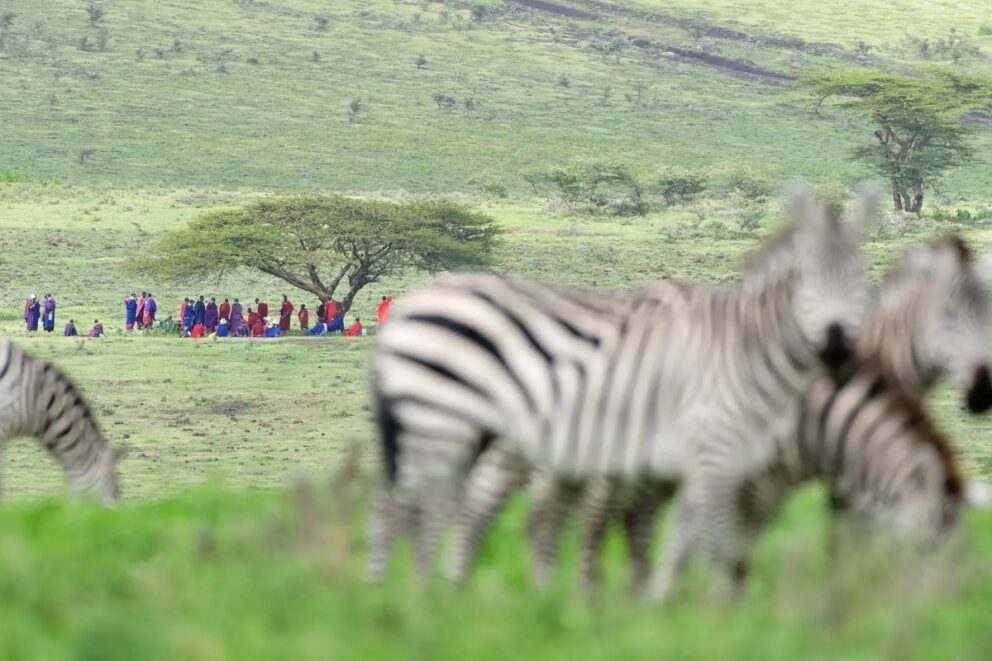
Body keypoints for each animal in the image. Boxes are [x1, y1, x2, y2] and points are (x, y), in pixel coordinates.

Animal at [367, 185, 876, 581]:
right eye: (805, 283)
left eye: (863, 281)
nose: (837, 348)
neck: (741, 343)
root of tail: (413, 309)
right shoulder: (711, 450)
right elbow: (707, 537)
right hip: (442, 419)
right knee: (416, 507)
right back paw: (409, 600)